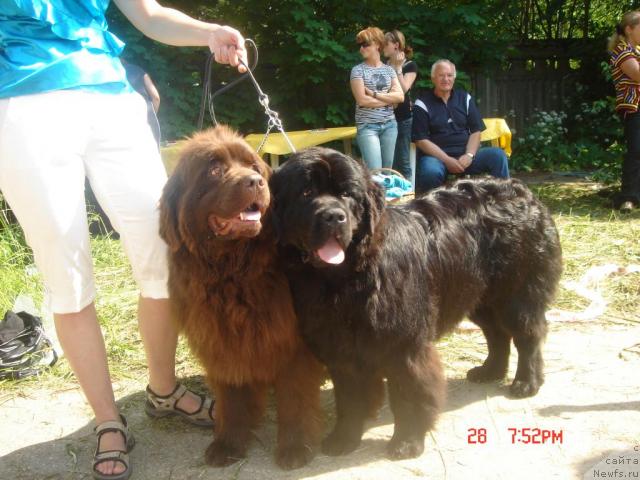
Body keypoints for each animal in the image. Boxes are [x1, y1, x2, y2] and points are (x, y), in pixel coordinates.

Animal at [158, 126, 322, 468]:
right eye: (214, 169)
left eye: (254, 167)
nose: (255, 182)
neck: (233, 273)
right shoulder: (222, 342)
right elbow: (232, 398)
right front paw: (228, 444)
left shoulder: (292, 344)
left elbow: (295, 397)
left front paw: (295, 448)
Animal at [268, 147, 560, 462]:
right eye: (306, 192)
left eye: (347, 194)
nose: (334, 217)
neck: (344, 279)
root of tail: (522, 191)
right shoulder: (341, 347)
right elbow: (349, 398)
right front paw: (344, 438)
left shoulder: (403, 345)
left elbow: (408, 394)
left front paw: (407, 442)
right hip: (476, 294)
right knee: (497, 334)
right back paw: (489, 371)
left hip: (515, 294)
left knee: (527, 335)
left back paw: (526, 382)